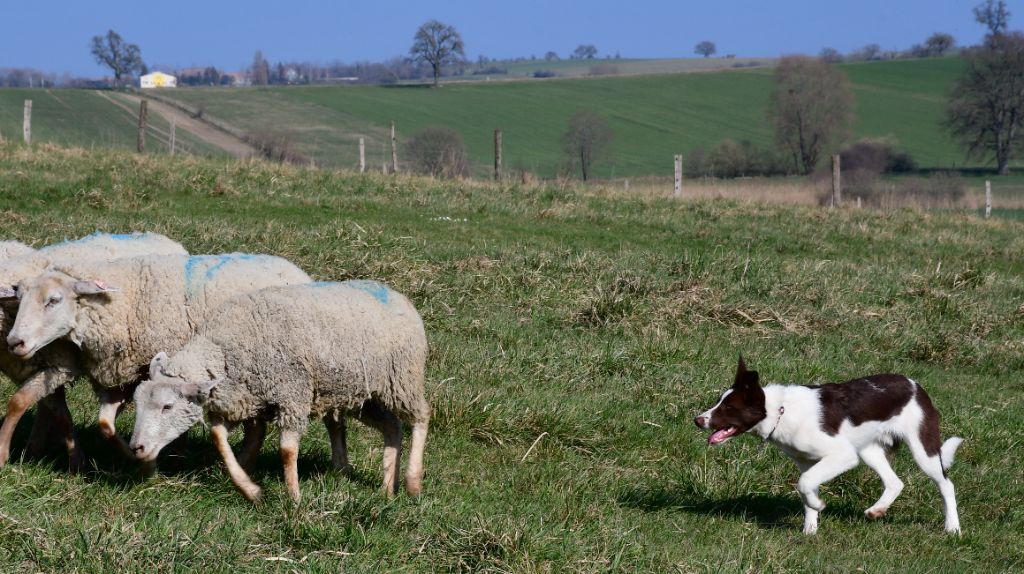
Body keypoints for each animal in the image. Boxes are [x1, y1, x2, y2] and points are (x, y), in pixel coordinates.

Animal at [0, 230, 188, 468]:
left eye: (53, 301)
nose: (15, 342)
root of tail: (163, 238)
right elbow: (55, 409)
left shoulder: (60, 365)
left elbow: (20, 401)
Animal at [6, 250, 309, 466]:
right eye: (19, 301)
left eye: (53, 300)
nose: (14, 342)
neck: (124, 303)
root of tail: (296, 271)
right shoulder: (123, 375)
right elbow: (105, 423)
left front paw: (168, 456)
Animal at [130, 280, 430, 501]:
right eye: (138, 403)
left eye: (168, 406)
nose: (136, 448)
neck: (224, 349)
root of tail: (399, 296)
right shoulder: (244, 401)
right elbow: (218, 438)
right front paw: (248, 488)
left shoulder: (292, 395)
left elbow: (287, 451)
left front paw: (293, 498)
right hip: (361, 395)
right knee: (392, 427)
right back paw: (387, 488)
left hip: (403, 380)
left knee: (422, 416)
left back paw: (413, 483)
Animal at [692, 356, 962, 536]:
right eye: (718, 402)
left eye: (729, 407)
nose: (697, 420)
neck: (781, 411)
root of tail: (916, 385)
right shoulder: (807, 461)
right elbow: (805, 488)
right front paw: (810, 530)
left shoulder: (842, 455)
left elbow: (804, 484)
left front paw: (818, 506)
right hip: (868, 450)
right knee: (895, 482)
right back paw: (877, 510)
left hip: (922, 448)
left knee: (946, 485)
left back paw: (952, 527)